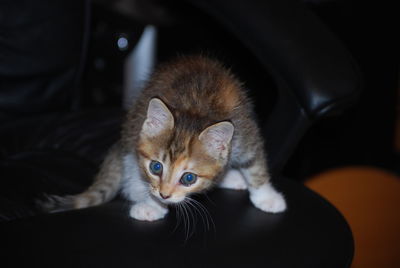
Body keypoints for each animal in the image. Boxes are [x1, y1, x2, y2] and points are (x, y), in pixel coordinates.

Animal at [43, 55, 286, 221]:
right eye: (156, 167)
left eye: (188, 178)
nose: (165, 195)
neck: (197, 109)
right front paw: (152, 205)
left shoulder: (245, 133)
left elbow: (255, 165)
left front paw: (267, 197)